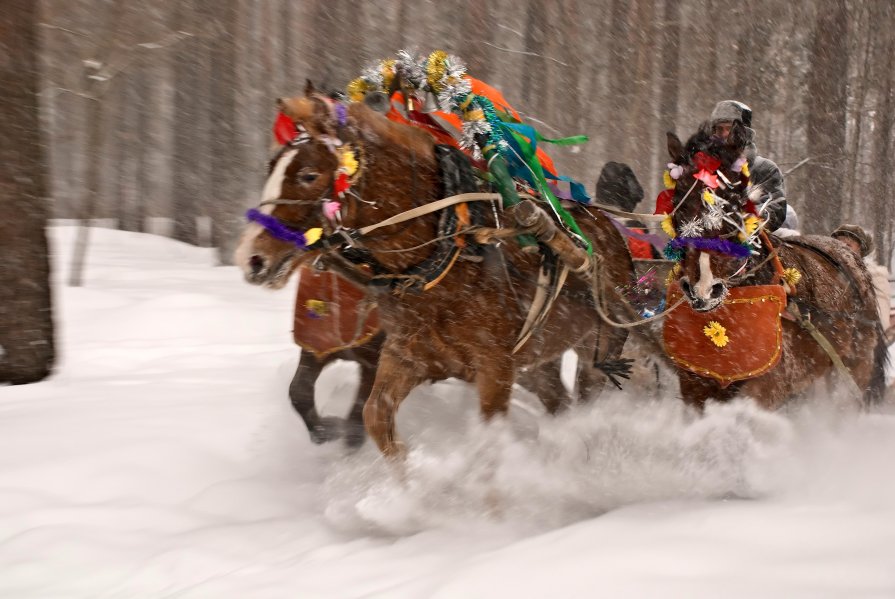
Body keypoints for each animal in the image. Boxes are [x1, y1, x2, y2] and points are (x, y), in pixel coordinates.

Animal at [234, 95, 632, 460]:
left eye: (309, 175)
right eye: (271, 167)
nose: (252, 258)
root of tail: (607, 226)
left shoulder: (492, 365)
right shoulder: (399, 356)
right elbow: (350, 409)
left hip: (599, 345)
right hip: (538, 361)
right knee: (560, 401)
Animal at [660, 122, 884, 412]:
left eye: (731, 203)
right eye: (678, 200)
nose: (704, 289)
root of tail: (850, 254)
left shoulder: (766, 385)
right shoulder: (695, 386)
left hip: (855, 368)